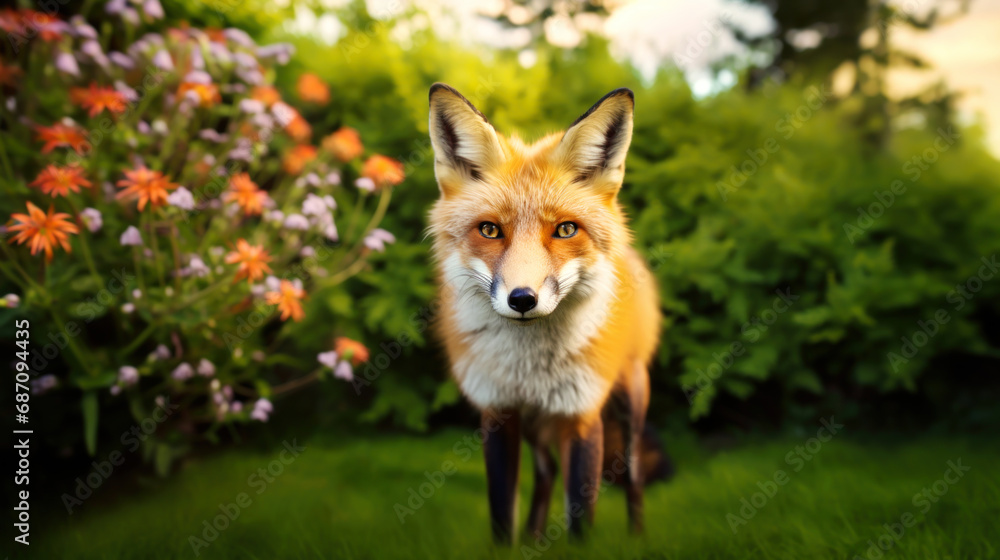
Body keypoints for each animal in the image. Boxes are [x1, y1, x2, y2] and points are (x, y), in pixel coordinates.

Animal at [426, 83, 662, 543]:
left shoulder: (582, 414)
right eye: (490, 230)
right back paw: (535, 539)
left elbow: (580, 520)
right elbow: (503, 515)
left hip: (631, 401)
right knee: (547, 472)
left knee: (634, 476)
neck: (529, 368)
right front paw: (516, 543)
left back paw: (638, 537)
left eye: (565, 230)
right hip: (537, 425)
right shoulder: (498, 412)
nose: (522, 299)